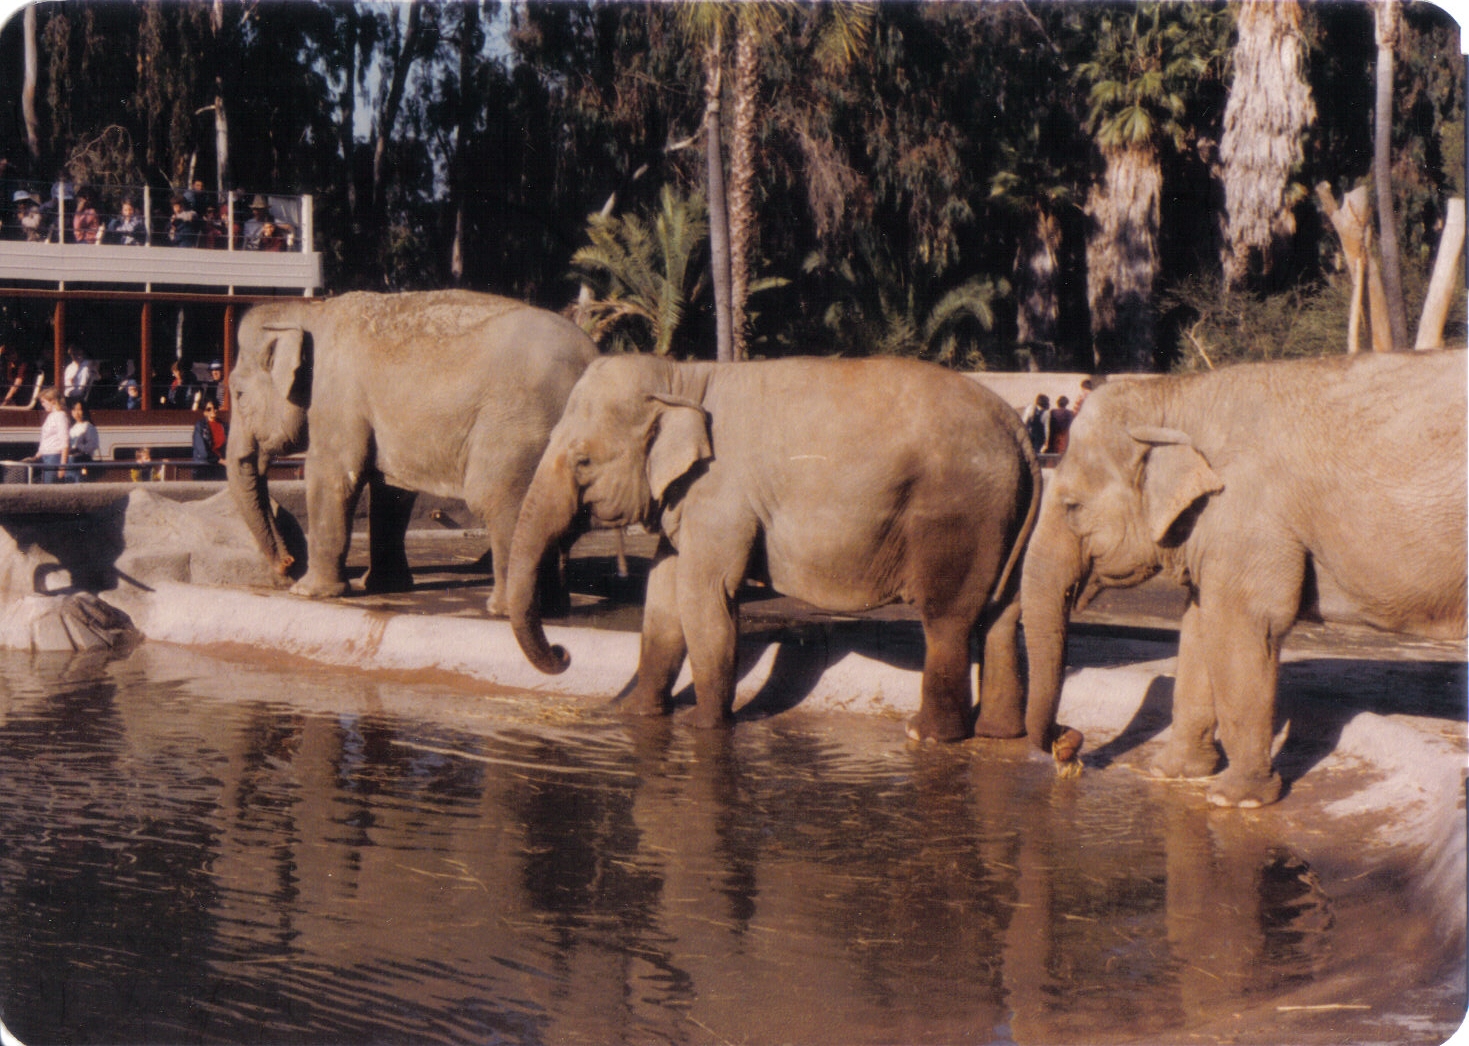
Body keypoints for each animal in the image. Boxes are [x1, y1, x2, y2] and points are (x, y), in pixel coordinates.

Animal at [226, 290, 599, 614]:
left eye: (239, 394)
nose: (285, 565)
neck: (311, 313)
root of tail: (593, 359)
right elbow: (392, 492)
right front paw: (383, 586)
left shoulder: (336, 400)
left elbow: (332, 477)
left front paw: (306, 592)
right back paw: (551, 609)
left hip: (518, 430)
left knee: (500, 500)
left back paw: (502, 610)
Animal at [505, 352, 1068, 748]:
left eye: (582, 461)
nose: (564, 653)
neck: (681, 377)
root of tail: (1020, 432)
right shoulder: (691, 498)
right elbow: (663, 594)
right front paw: (632, 717)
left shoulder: (721, 492)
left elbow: (704, 595)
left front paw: (702, 728)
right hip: (1005, 516)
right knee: (1002, 615)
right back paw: (999, 734)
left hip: (957, 513)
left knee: (947, 619)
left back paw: (925, 735)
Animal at [1021, 349, 1467, 808]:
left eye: (1072, 506)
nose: (1070, 742)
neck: (1175, 394)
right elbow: (1198, 627)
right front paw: (1172, 772)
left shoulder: (1247, 512)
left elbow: (1242, 625)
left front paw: (1236, 799)